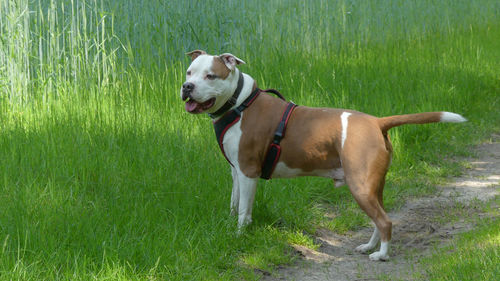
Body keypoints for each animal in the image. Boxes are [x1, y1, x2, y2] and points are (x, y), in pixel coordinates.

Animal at [181, 49, 468, 260]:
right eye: (189, 72)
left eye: (210, 76)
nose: (187, 86)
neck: (239, 104)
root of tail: (377, 122)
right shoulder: (236, 172)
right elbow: (234, 202)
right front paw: (230, 225)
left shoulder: (248, 172)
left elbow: (244, 210)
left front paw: (240, 235)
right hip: (373, 186)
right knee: (380, 219)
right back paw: (369, 247)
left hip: (360, 185)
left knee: (384, 221)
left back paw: (381, 255)